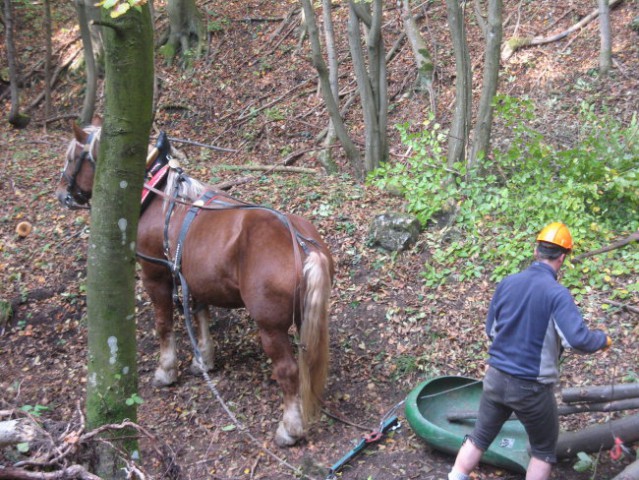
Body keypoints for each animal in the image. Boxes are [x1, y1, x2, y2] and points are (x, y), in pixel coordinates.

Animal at [55, 120, 336, 446]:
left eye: (72, 158)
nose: (62, 194)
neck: (158, 196)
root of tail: (303, 245)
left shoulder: (155, 275)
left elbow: (164, 324)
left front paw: (167, 370)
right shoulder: (194, 276)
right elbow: (200, 314)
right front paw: (204, 359)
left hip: (270, 326)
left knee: (288, 370)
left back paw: (290, 428)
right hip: (304, 316)